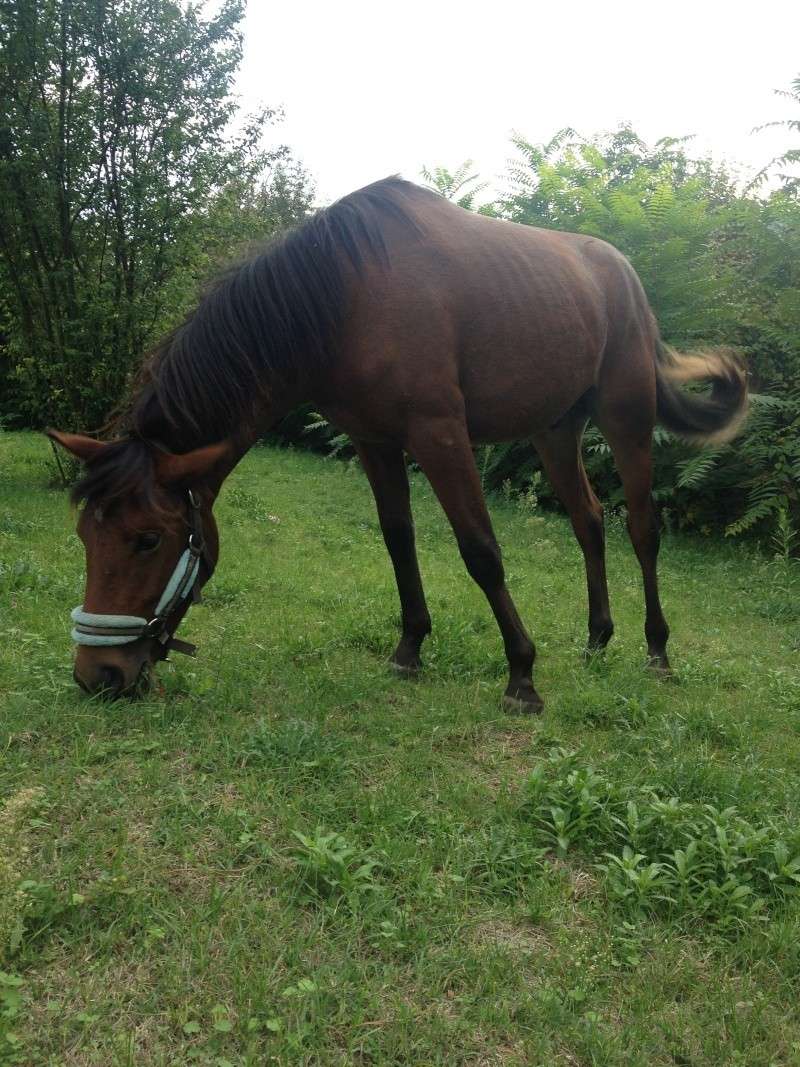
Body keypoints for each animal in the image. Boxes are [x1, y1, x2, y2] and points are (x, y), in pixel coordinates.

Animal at [48, 176, 750, 708]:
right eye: (85, 533)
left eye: (148, 539)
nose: (97, 676)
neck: (346, 296)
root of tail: (624, 275)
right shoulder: (375, 441)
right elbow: (398, 541)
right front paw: (410, 648)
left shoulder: (439, 433)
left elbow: (481, 550)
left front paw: (522, 673)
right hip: (556, 432)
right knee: (589, 522)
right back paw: (597, 639)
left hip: (626, 421)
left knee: (641, 528)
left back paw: (656, 650)